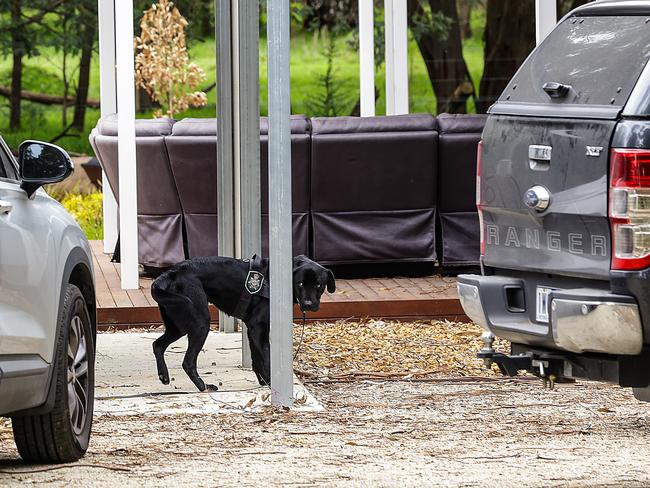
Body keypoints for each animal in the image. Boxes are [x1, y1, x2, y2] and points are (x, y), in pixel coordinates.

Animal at [149, 254, 332, 390]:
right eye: (300, 283)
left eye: (318, 285)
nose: (308, 304)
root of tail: (169, 274)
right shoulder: (258, 328)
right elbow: (266, 357)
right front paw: (271, 384)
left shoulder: (253, 330)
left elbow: (256, 359)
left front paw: (263, 382)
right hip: (200, 323)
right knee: (187, 362)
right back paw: (203, 386)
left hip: (177, 325)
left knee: (157, 345)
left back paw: (164, 375)